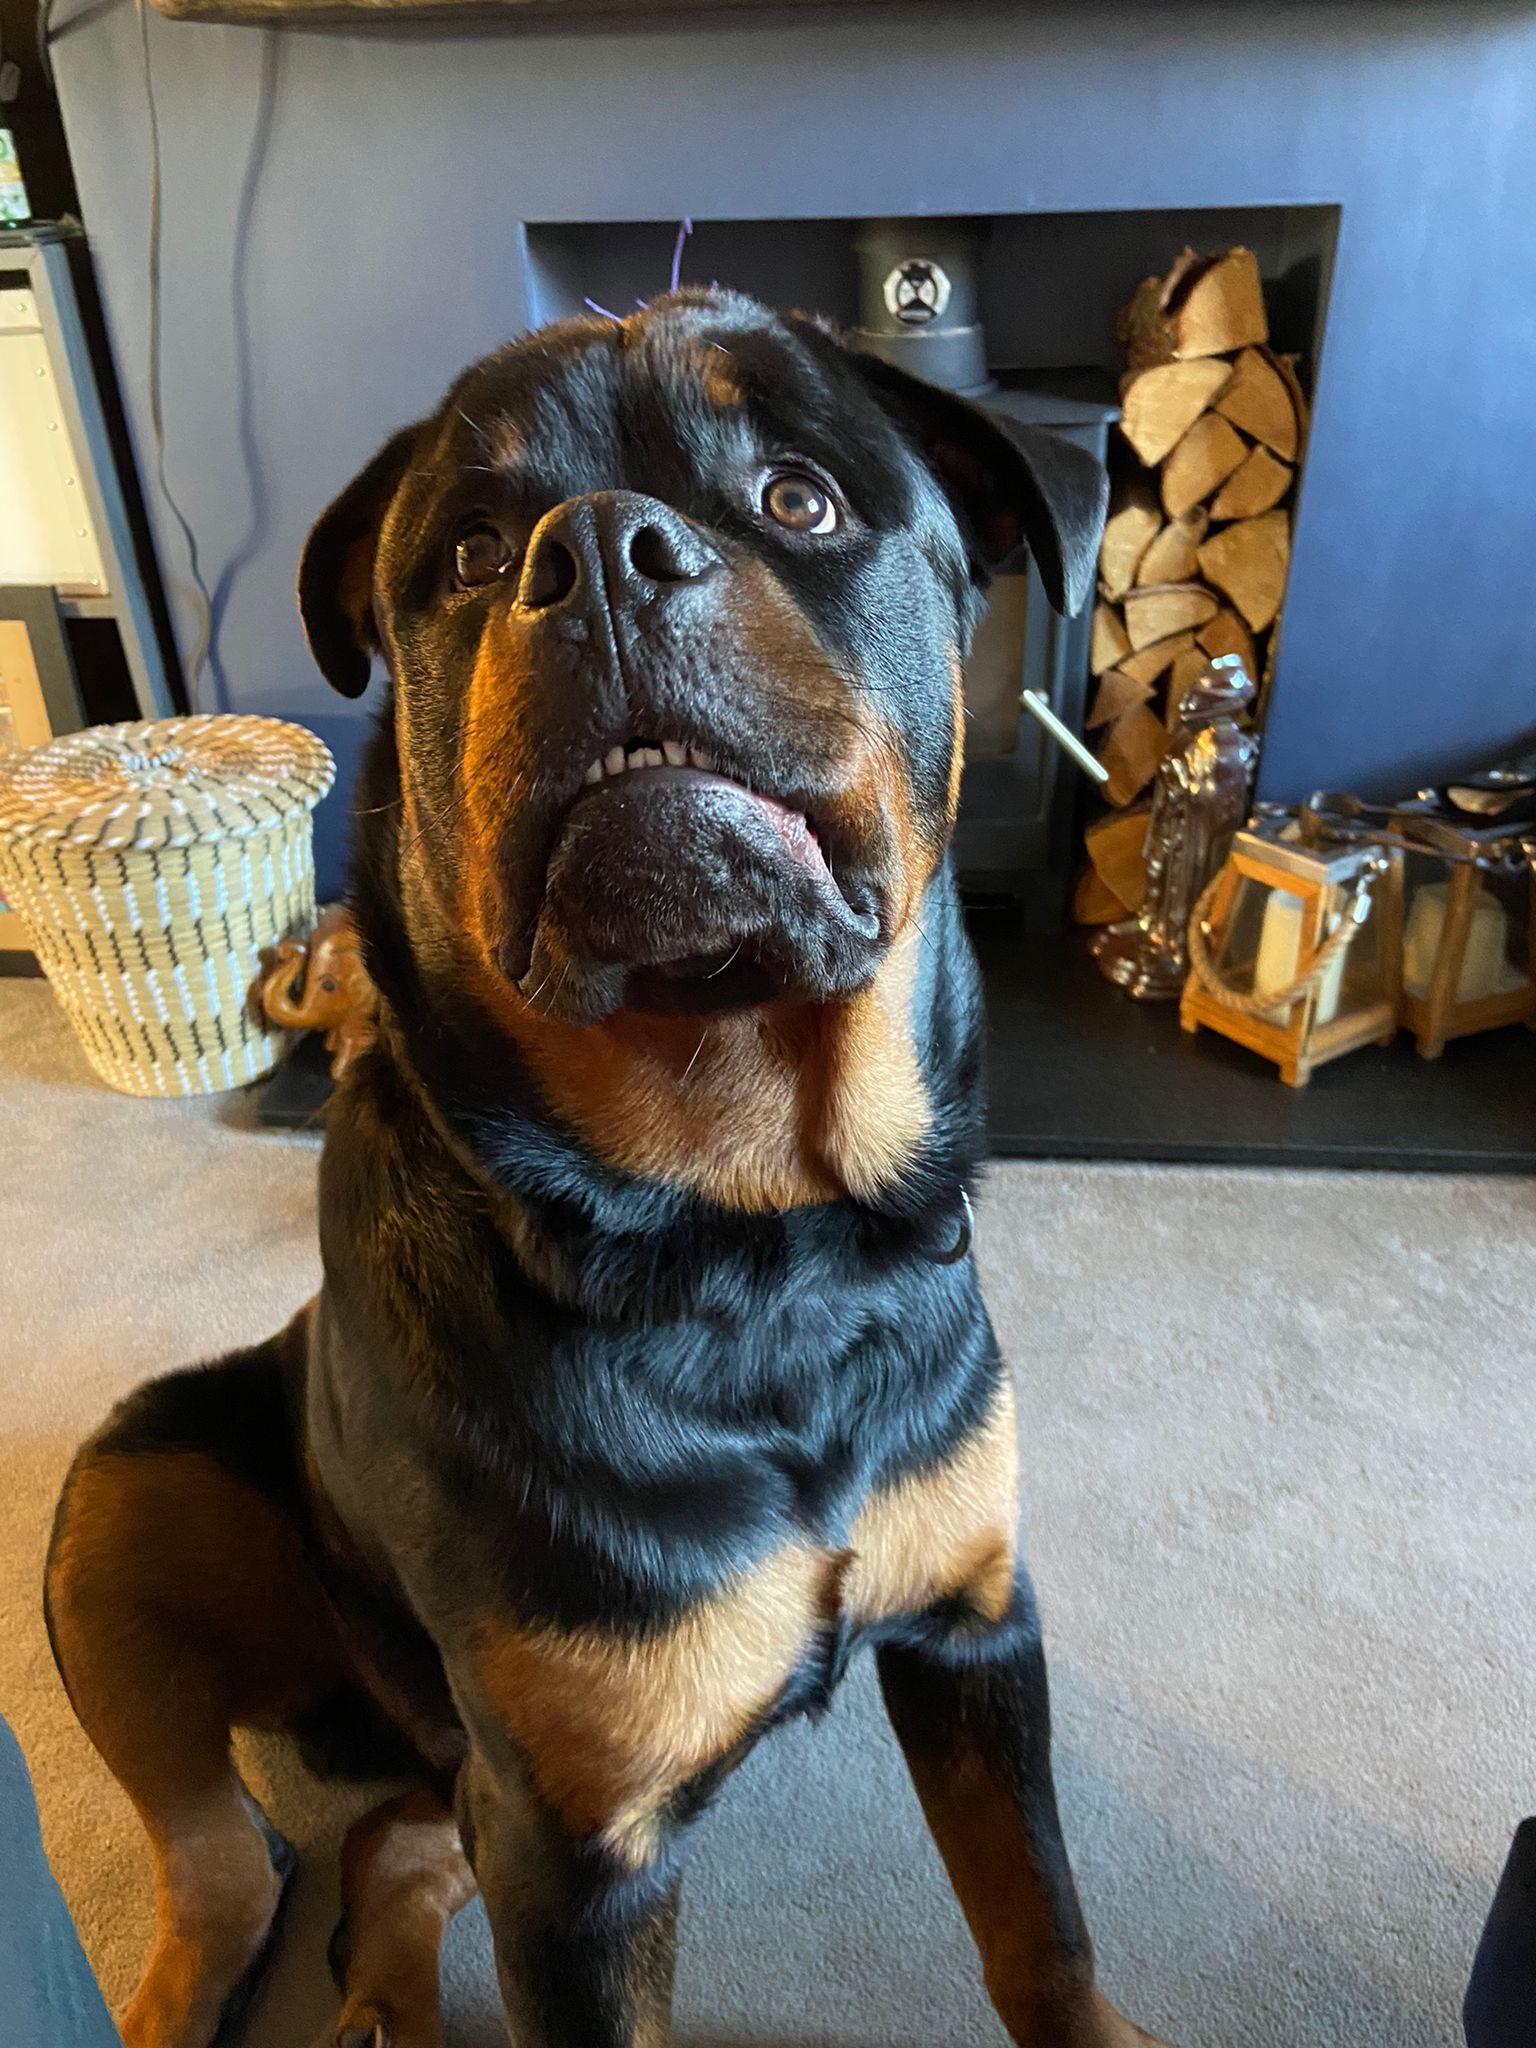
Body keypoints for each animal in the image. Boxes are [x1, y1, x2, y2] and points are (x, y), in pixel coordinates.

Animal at [45, 289, 1174, 2048]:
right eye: (466, 553)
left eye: (800, 497)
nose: (596, 550)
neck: (755, 1235)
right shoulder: (576, 1847)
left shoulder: (982, 1628)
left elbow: (1038, 1921)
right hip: (131, 1485)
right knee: (226, 1861)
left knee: (385, 1847)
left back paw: (384, 2000)